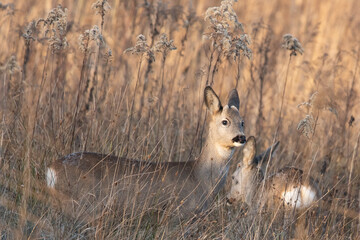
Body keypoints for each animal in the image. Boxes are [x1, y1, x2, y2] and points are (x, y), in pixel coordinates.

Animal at [46, 86, 246, 223]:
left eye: (242, 122)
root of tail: (51, 169)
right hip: (81, 205)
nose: (241, 137)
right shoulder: (176, 213)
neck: (200, 177)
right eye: (225, 121)